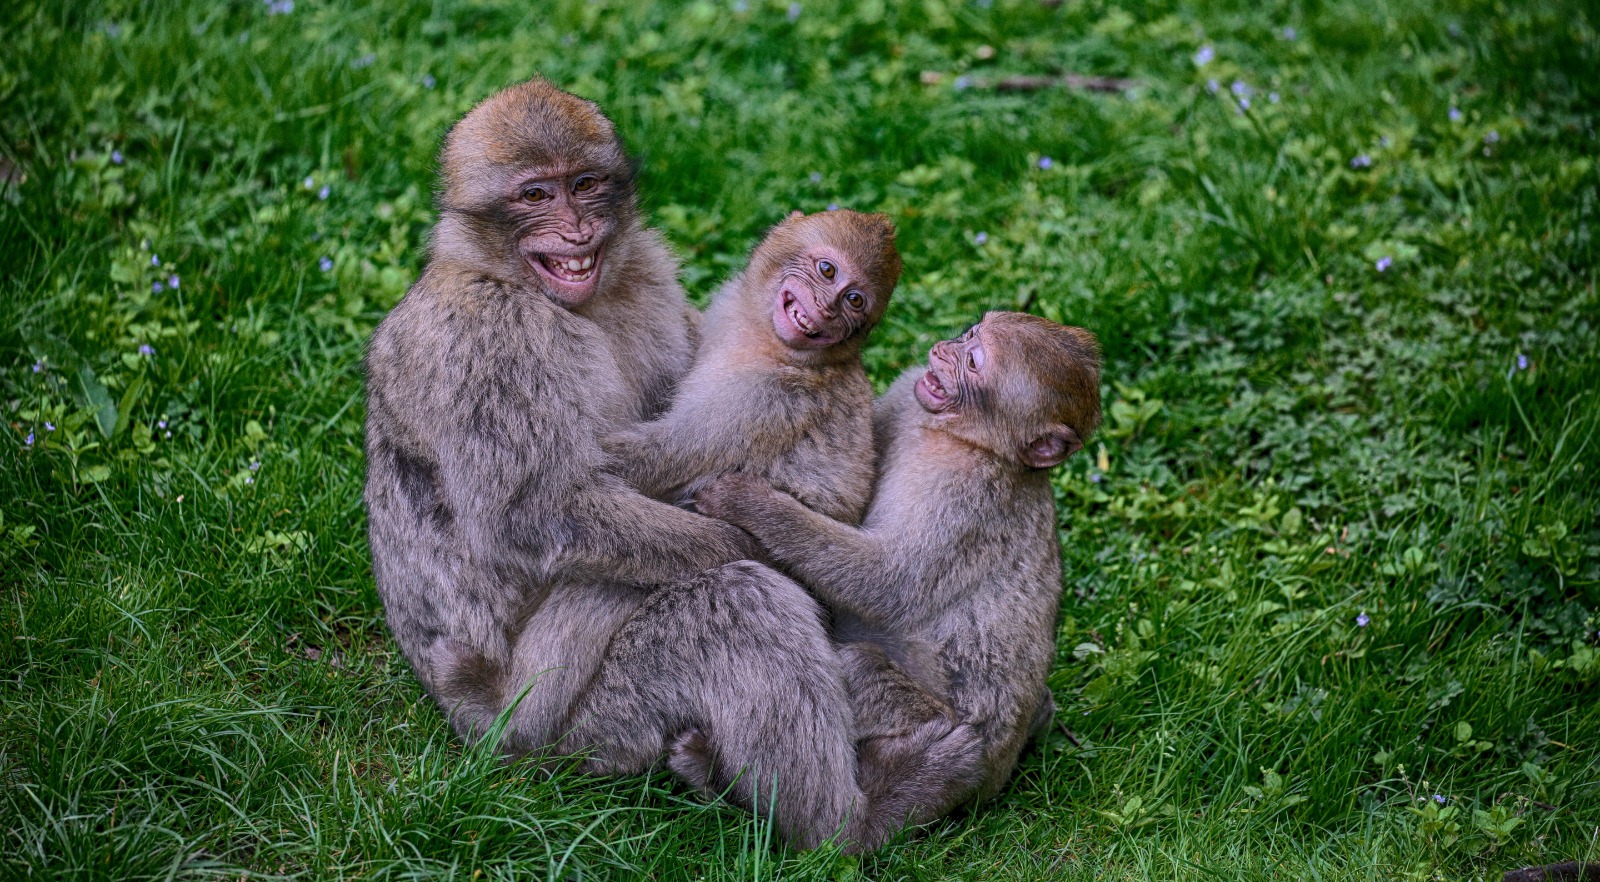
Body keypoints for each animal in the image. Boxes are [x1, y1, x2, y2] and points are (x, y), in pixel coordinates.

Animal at [603, 208, 901, 525]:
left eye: (854, 300)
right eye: (827, 270)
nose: (826, 308)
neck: (771, 345)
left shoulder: (772, 398)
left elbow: (657, 457)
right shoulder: (728, 307)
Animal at [696, 311, 1103, 826]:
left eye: (974, 363)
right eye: (972, 334)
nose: (945, 349)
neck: (963, 440)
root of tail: (999, 775)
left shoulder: (964, 496)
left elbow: (886, 583)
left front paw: (750, 503)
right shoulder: (909, 399)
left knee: (862, 665)